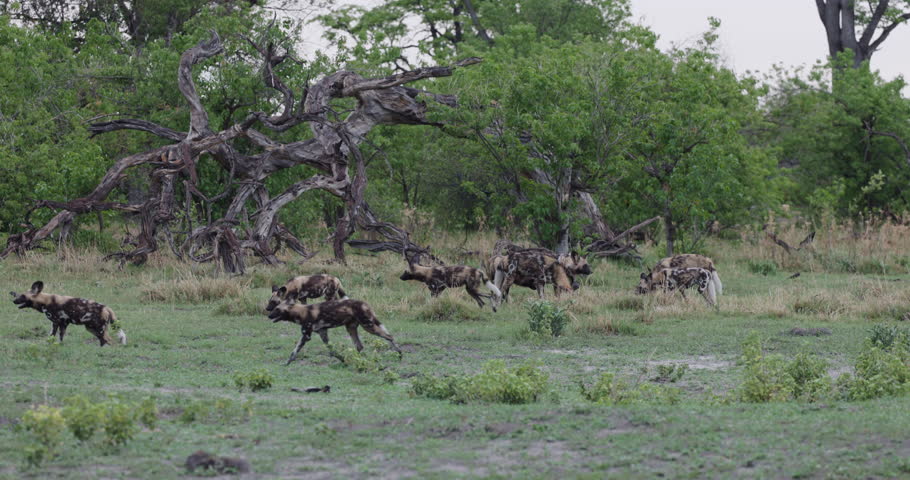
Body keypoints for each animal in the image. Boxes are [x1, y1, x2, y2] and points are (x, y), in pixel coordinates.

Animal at [268, 298, 402, 366]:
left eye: (277, 309)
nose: (268, 315)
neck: (301, 312)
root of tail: (364, 303)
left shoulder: (306, 336)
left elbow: (295, 350)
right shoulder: (322, 333)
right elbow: (332, 351)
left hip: (368, 326)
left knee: (389, 336)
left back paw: (400, 354)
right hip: (351, 328)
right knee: (359, 346)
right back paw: (357, 360)